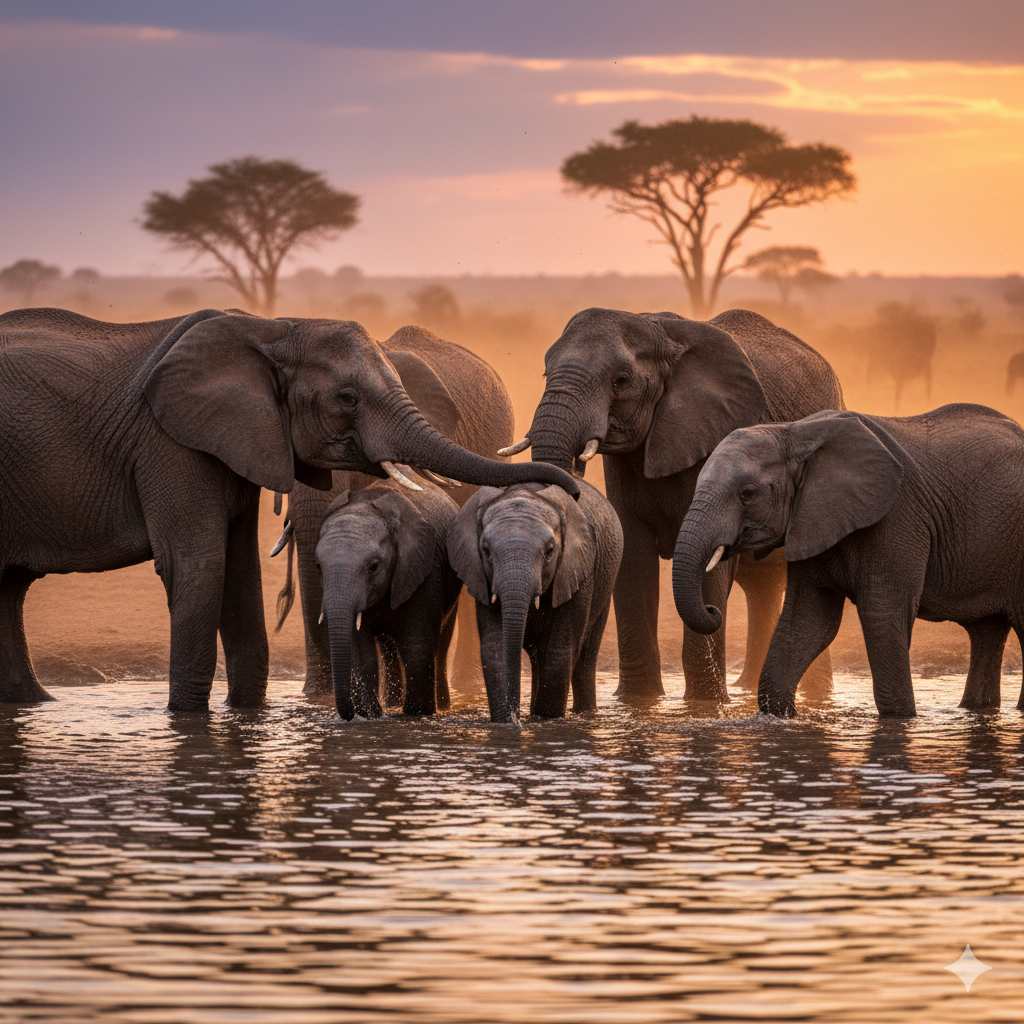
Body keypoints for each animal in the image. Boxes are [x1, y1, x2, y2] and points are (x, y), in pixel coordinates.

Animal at [314, 473, 461, 721]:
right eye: (318, 567)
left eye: (373, 567)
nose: (348, 715)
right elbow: (360, 651)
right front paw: (370, 715)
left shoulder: (424, 566)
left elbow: (417, 645)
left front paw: (417, 714)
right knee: (387, 648)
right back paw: (392, 704)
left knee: (441, 642)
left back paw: (442, 707)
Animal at [447, 479, 623, 723]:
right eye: (486, 551)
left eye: (549, 551)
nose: (515, 717)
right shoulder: (481, 577)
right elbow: (495, 648)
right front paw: (506, 721)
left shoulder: (579, 572)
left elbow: (560, 651)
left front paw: (547, 720)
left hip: (605, 583)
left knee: (585, 657)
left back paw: (584, 714)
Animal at [518, 306, 844, 701]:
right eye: (546, 372)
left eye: (621, 381)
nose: (577, 464)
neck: (661, 333)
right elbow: (634, 558)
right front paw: (638, 701)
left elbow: (709, 563)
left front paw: (704, 704)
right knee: (762, 586)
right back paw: (748, 688)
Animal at [672, 404, 1024, 718]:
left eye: (747, 494)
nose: (713, 611)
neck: (794, 433)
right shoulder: (812, 519)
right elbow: (809, 620)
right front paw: (781, 718)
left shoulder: (896, 519)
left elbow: (883, 617)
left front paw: (900, 722)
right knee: (987, 632)